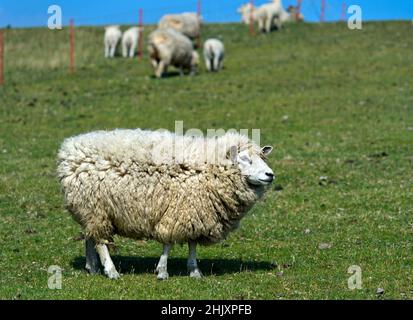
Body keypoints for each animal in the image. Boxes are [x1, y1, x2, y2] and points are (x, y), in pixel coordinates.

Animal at [54, 129, 274, 280]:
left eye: (263, 157)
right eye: (244, 159)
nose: (270, 175)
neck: (210, 167)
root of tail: (69, 148)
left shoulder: (195, 212)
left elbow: (192, 242)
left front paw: (194, 270)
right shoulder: (177, 210)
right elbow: (168, 242)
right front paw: (162, 271)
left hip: (90, 210)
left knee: (90, 236)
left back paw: (92, 267)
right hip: (95, 207)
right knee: (100, 241)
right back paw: (111, 270)